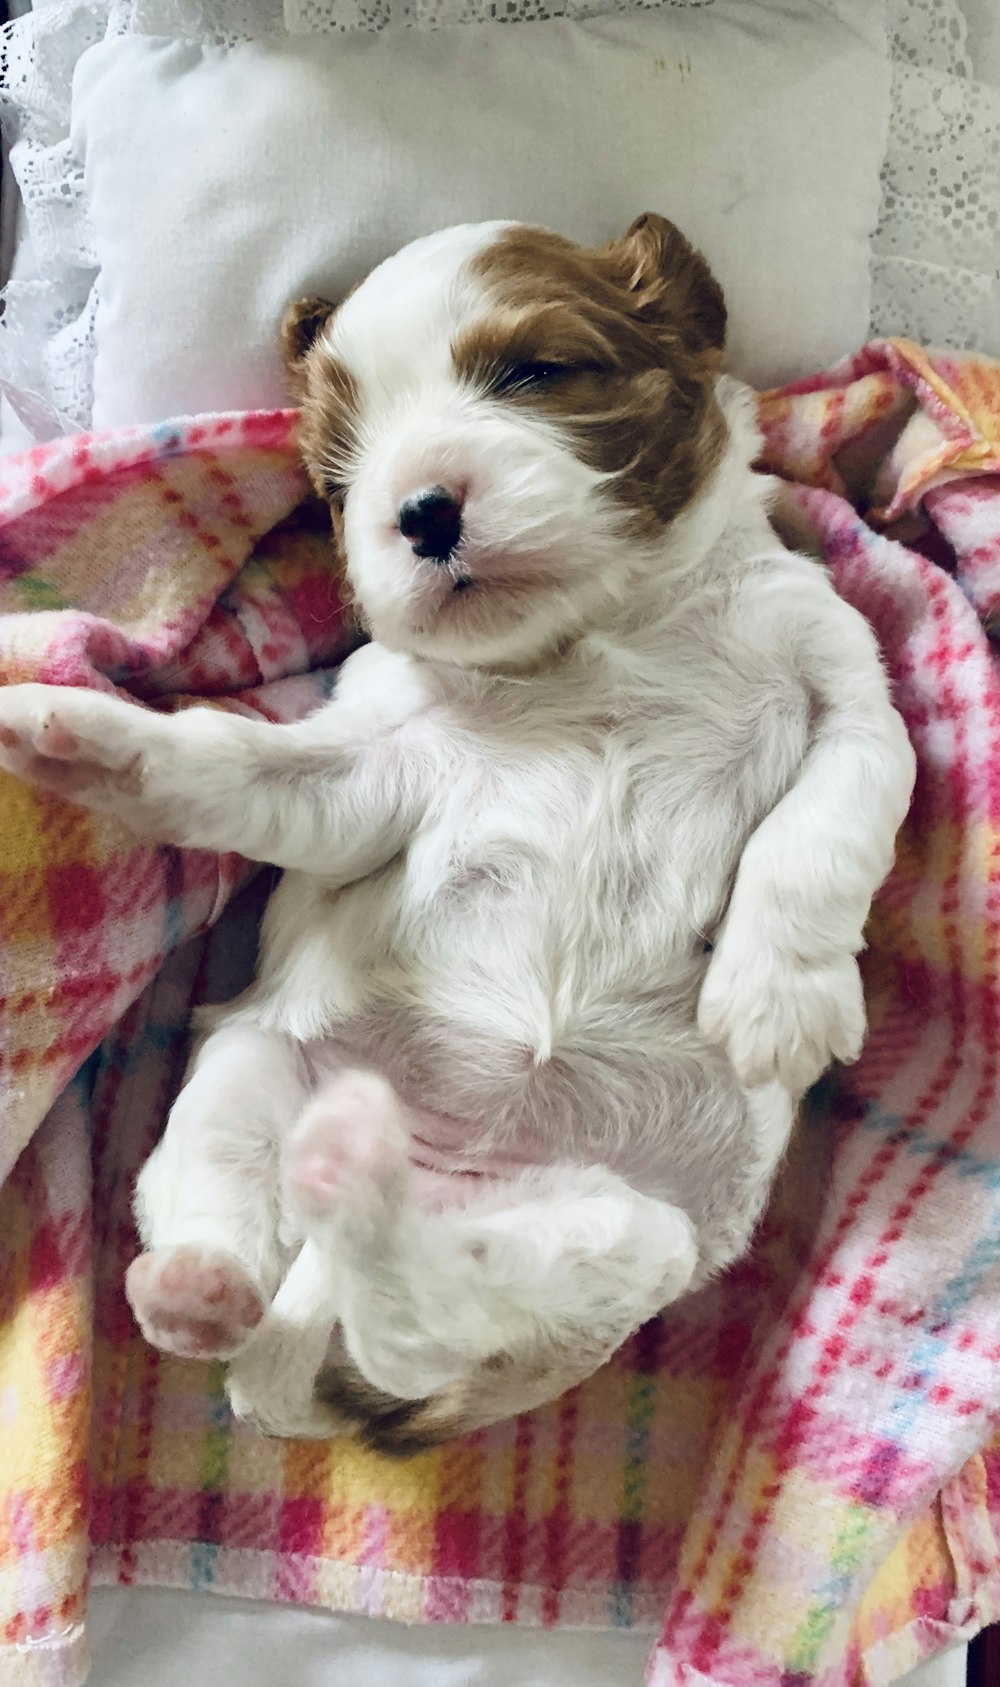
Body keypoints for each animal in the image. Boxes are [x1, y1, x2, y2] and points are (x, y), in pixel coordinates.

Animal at [0, 210, 910, 1450]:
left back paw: (349, 1196)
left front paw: (777, 999)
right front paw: (77, 736)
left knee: (425, 1306)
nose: (421, 510)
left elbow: (820, 828)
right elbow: (234, 766)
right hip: (250, 1071)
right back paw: (207, 1278)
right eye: (339, 475)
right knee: (259, 1228)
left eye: (534, 370)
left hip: (622, 1236)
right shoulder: (365, 767)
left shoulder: (848, 690)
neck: (589, 640)